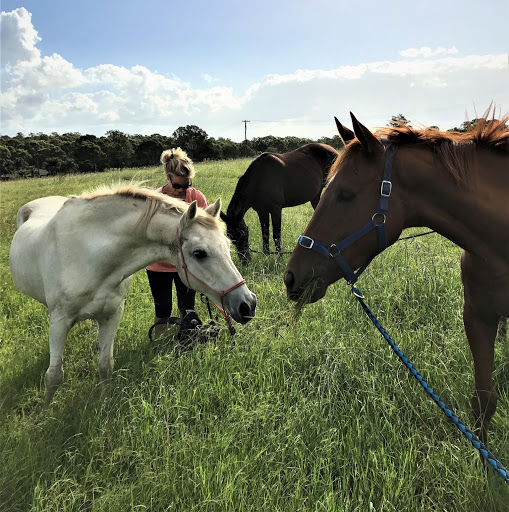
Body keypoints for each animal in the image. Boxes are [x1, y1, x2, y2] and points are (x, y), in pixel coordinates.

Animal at [10, 184, 258, 400]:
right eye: (199, 253)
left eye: (227, 244)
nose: (248, 304)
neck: (88, 255)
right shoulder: (60, 319)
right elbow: (53, 377)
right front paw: (46, 409)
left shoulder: (111, 315)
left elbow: (105, 366)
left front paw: (102, 402)